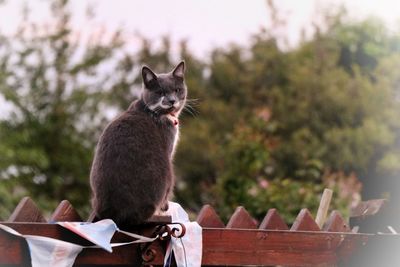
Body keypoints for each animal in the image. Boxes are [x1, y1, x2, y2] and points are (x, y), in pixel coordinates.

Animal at [90, 61, 187, 228]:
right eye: (160, 92)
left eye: (177, 90)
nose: (172, 100)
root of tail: (114, 214)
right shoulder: (168, 149)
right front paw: (165, 208)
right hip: (167, 171)